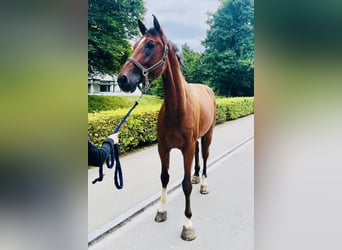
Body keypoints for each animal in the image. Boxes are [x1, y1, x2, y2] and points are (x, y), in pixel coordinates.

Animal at [116, 15, 215, 240]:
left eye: (150, 45)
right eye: (134, 45)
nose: (123, 79)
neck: (177, 107)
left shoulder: (186, 148)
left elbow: (185, 185)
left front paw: (188, 225)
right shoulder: (163, 148)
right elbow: (164, 177)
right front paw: (161, 211)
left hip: (208, 135)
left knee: (205, 156)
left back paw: (204, 184)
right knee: (199, 155)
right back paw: (197, 176)